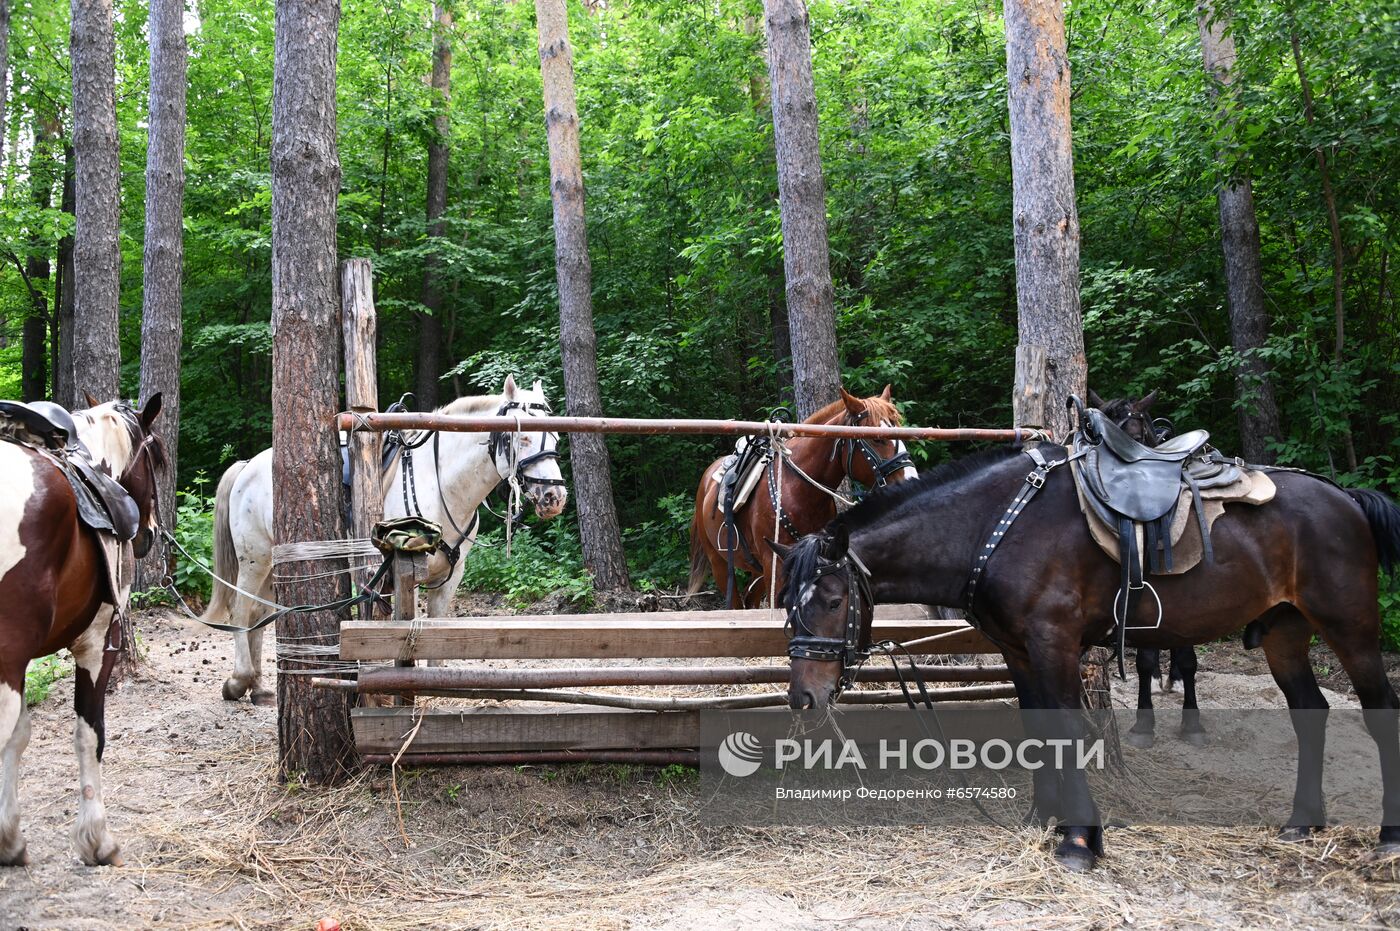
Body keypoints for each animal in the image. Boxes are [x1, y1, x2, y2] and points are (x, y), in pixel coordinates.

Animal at [0, 392, 165, 862]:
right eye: (159, 461)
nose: (148, 534)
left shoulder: (21, 663)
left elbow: (18, 738)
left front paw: (10, 837)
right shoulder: (98, 643)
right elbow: (89, 735)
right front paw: (96, 838)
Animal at [198, 378, 568, 705]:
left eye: (555, 438)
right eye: (521, 438)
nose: (554, 497)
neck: (442, 484)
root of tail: (248, 466)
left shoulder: (451, 576)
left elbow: (437, 625)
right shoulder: (400, 569)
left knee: (259, 613)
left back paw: (259, 688)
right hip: (255, 558)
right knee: (241, 611)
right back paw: (239, 680)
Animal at [772, 436, 1400, 873]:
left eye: (831, 599)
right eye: (786, 603)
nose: (803, 695)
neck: (996, 527)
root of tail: (1344, 498)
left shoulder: (1055, 644)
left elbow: (1068, 731)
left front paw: (1079, 839)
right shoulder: (1020, 652)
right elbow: (1038, 730)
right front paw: (1043, 818)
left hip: (1349, 627)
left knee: (1380, 714)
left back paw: (1388, 839)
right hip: (1283, 633)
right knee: (1310, 713)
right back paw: (1302, 822)